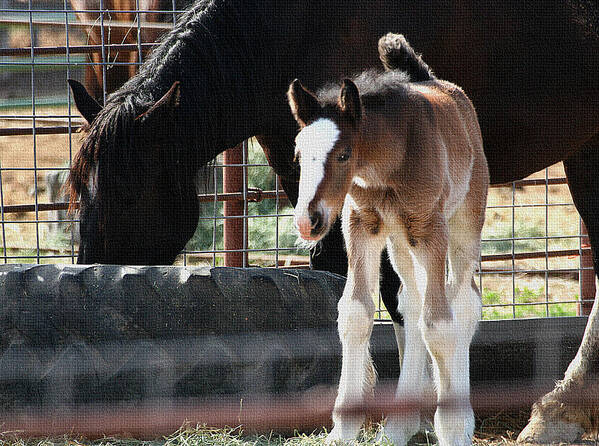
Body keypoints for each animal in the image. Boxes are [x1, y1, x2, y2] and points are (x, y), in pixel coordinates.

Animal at [288, 34, 490, 446]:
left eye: (344, 155)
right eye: (299, 155)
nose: (307, 221)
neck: (388, 167)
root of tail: (437, 82)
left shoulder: (431, 229)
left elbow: (439, 325)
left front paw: (452, 429)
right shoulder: (361, 226)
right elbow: (356, 313)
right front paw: (342, 429)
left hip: (462, 223)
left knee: (464, 302)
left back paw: (459, 420)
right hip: (399, 243)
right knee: (409, 303)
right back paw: (400, 425)